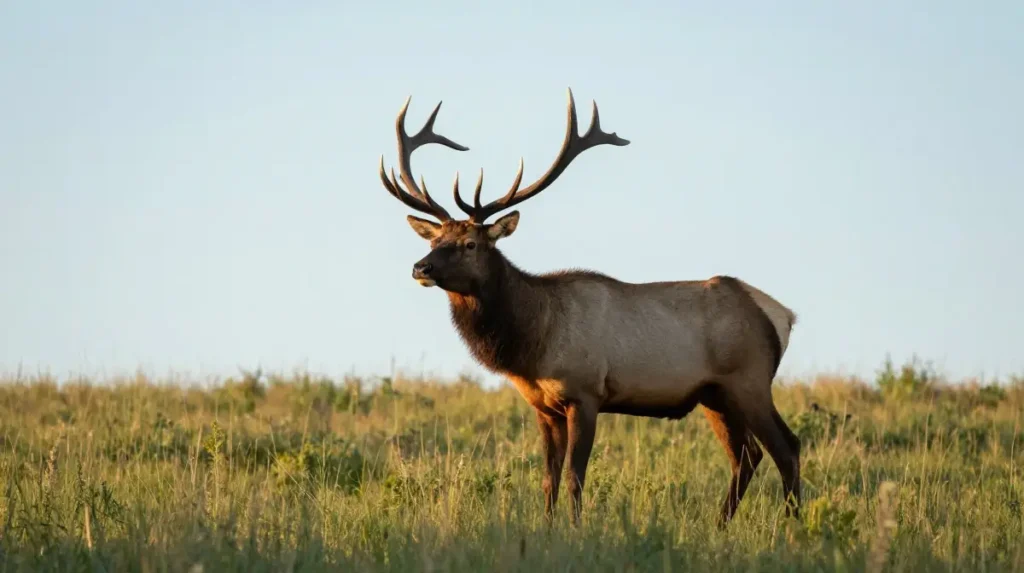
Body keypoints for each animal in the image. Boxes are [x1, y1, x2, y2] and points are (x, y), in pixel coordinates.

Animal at [375, 88, 801, 528]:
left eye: (470, 244)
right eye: (434, 240)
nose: (420, 267)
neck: (533, 343)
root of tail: (784, 316)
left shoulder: (585, 393)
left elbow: (575, 476)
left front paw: (576, 529)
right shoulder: (543, 406)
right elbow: (549, 477)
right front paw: (547, 529)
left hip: (750, 379)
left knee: (786, 447)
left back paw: (793, 525)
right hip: (715, 394)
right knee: (746, 455)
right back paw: (721, 525)